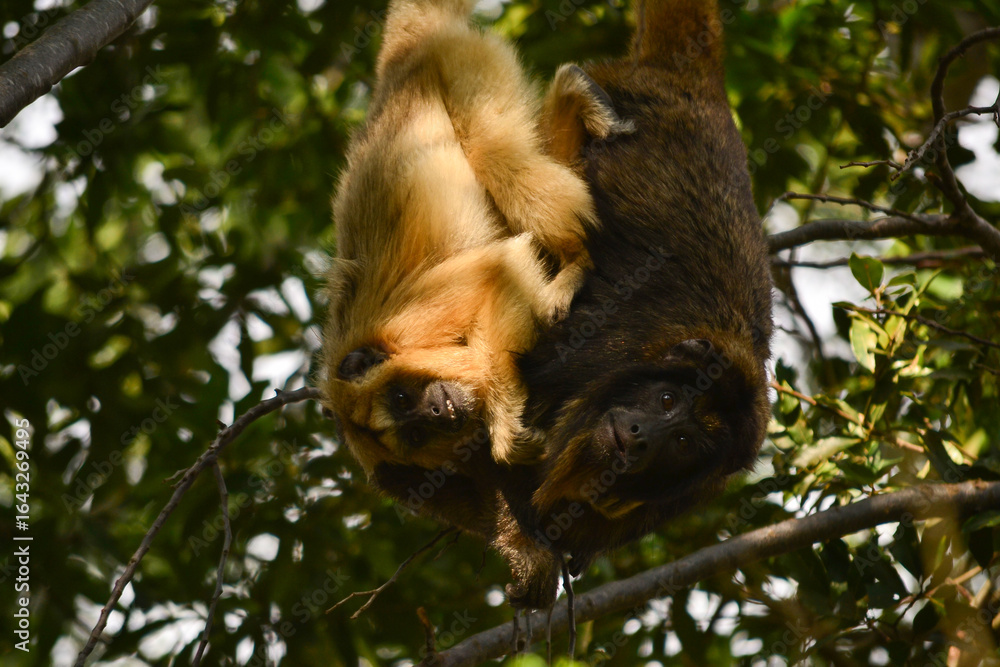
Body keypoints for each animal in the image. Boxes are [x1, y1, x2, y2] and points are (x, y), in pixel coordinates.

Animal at [320, 0, 630, 477]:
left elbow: (499, 270)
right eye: (415, 433)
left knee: (493, 148)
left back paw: (576, 262)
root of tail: (397, 65)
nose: (436, 411)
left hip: (462, 67)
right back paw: (573, 88)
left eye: (401, 398)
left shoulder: (410, 322)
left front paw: (503, 429)